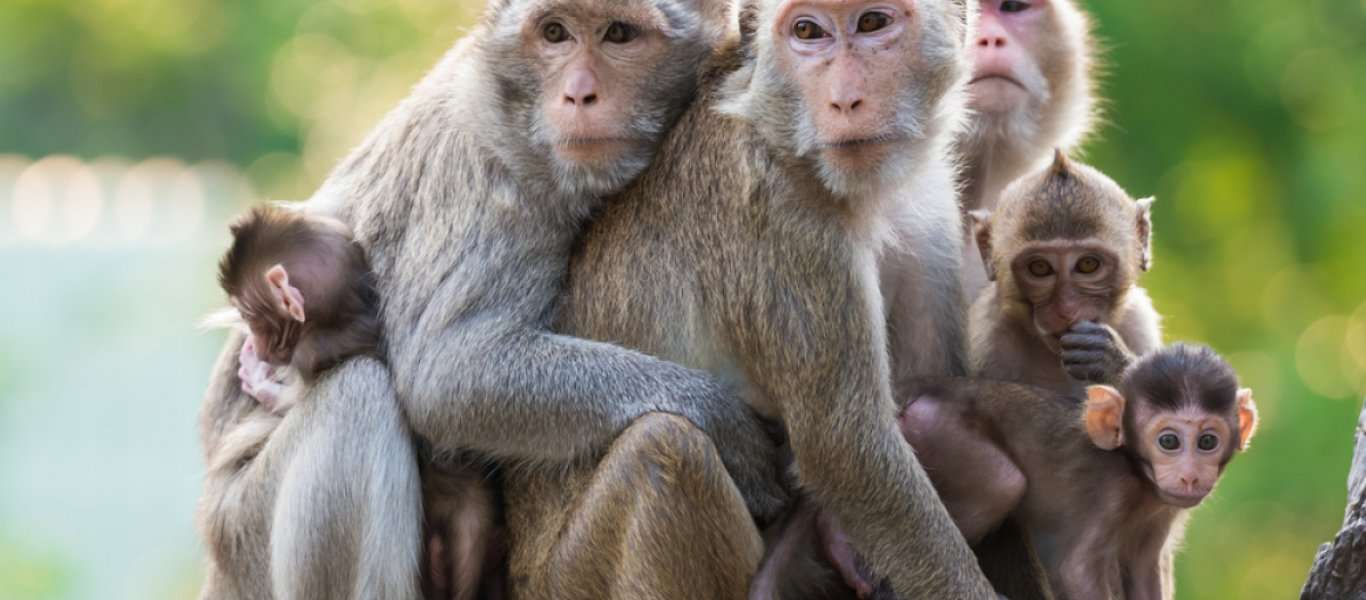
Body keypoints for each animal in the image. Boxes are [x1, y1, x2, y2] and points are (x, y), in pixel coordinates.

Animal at [510, 0, 994, 598]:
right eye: (807, 30)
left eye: (873, 23)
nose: (844, 100)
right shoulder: (782, 219)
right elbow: (848, 453)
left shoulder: (929, 204)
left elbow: (935, 389)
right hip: (570, 577)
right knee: (666, 451)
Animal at [961, 149, 1163, 393]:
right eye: (1040, 267)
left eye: (1088, 264)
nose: (1067, 309)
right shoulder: (989, 340)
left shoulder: (1138, 321)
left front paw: (1111, 361)